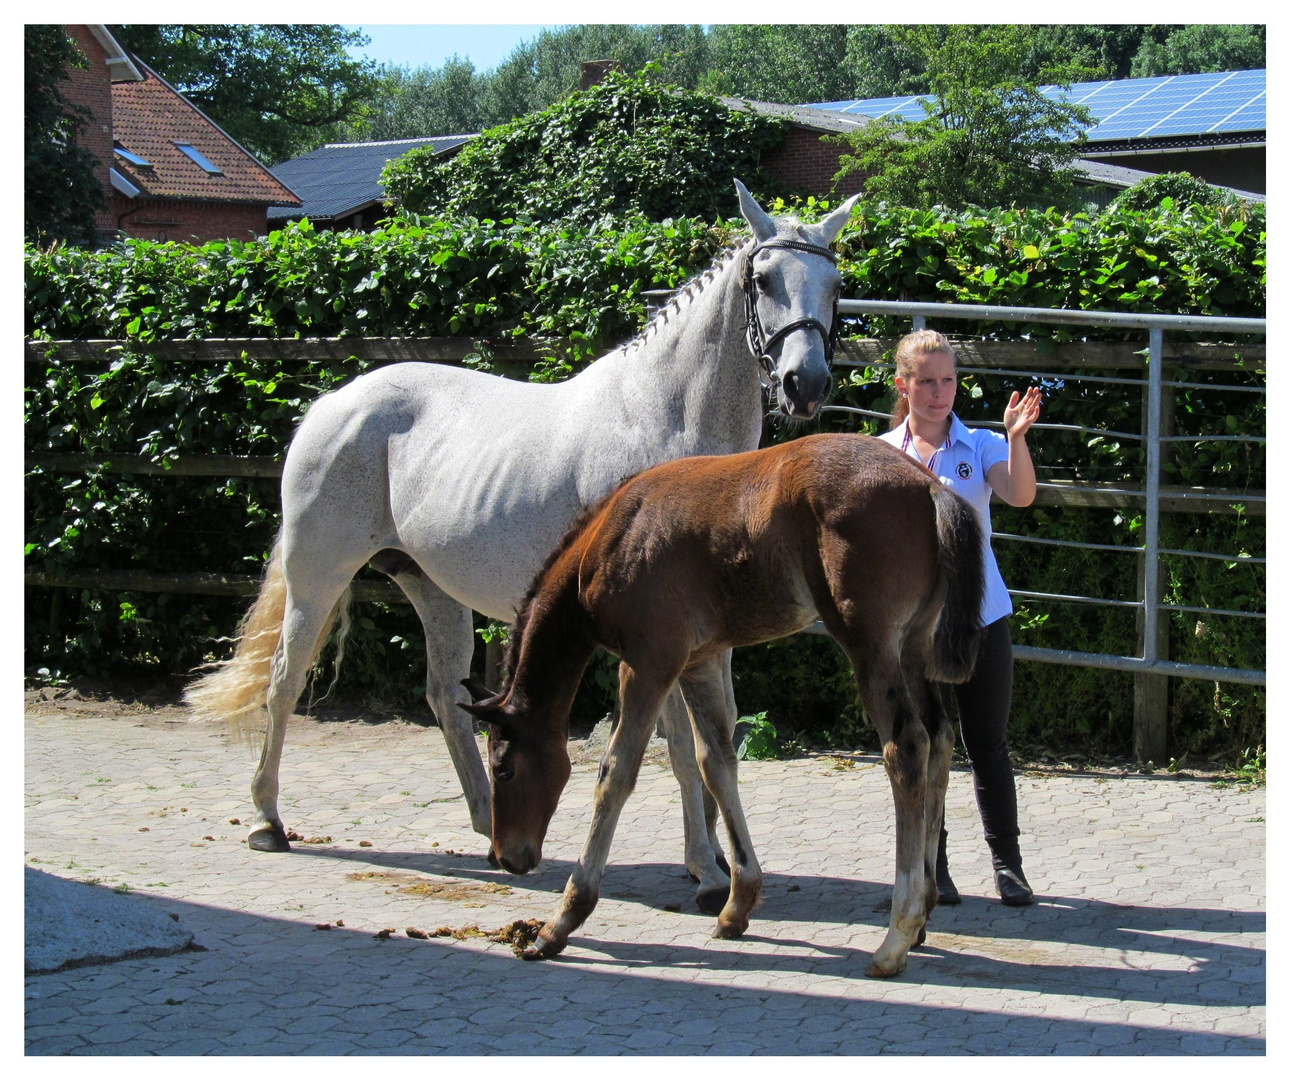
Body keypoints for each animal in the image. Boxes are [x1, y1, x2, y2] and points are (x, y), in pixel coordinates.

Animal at [189, 181, 860, 907]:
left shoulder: (710, 632)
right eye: (763, 280)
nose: (806, 384)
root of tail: (331, 405)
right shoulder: (657, 633)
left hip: (429, 588)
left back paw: (489, 829)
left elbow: (718, 740)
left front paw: (712, 858)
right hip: (319, 575)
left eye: (835, 283)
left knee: (443, 696)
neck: (667, 420)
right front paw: (707, 870)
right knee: (285, 680)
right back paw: (267, 819)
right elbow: (681, 744)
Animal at [458, 430, 979, 974]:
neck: (615, 534)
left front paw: (560, 922)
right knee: (941, 739)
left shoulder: (648, 662)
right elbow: (717, 763)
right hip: (915, 646)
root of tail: (928, 487)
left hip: (871, 643)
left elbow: (616, 773)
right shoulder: (699, 661)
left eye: (503, 770)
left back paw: (896, 935)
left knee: (908, 747)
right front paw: (737, 903)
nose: (506, 857)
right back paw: (925, 909)